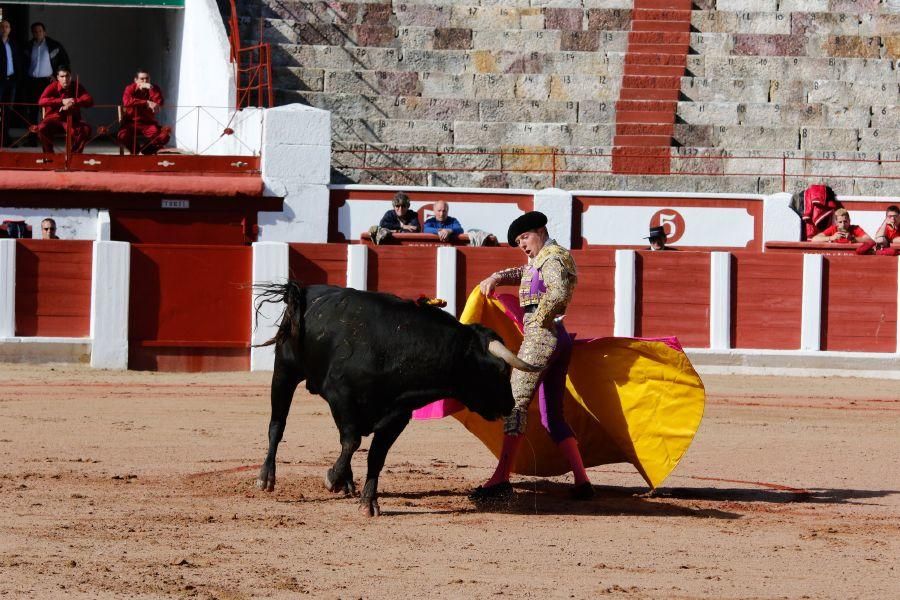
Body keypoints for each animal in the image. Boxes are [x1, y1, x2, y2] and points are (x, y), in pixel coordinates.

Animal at [253, 282, 536, 516]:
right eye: (501, 370)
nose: (509, 405)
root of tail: (305, 290)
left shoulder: (396, 416)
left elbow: (375, 456)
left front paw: (368, 502)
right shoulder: (341, 396)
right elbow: (352, 442)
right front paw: (332, 478)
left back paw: (347, 483)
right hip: (285, 371)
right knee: (277, 425)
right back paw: (266, 478)